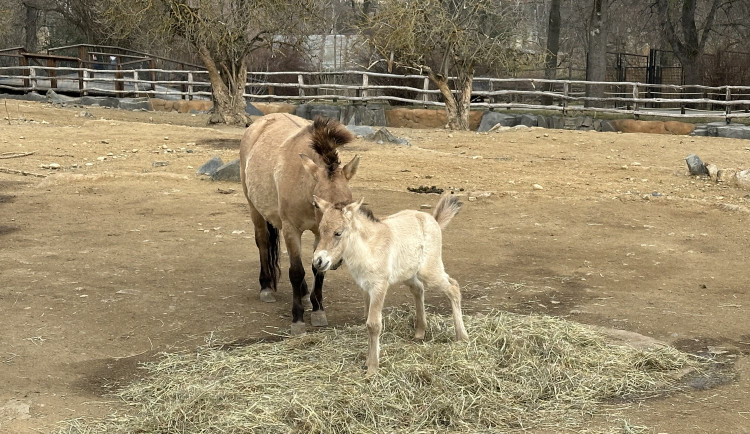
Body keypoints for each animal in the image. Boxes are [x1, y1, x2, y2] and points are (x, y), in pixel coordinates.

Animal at [239, 113, 360, 334]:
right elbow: (296, 271)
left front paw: (318, 310)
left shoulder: (319, 234)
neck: (304, 184)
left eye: (348, 203)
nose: (339, 261)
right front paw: (298, 318)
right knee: (263, 243)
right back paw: (266, 287)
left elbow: (318, 269)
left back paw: (303, 292)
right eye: (317, 204)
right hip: (254, 209)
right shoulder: (291, 229)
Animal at [312, 195, 470, 374]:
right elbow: (367, 319)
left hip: (429, 271)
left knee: (453, 287)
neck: (369, 248)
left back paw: (462, 336)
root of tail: (433, 220)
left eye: (338, 233)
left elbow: (374, 324)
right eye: (320, 230)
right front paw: (368, 361)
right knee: (418, 289)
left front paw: (372, 368)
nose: (318, 261)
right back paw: (420, 332)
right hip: (408, 273)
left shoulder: (379, 286)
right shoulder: (365, 288)